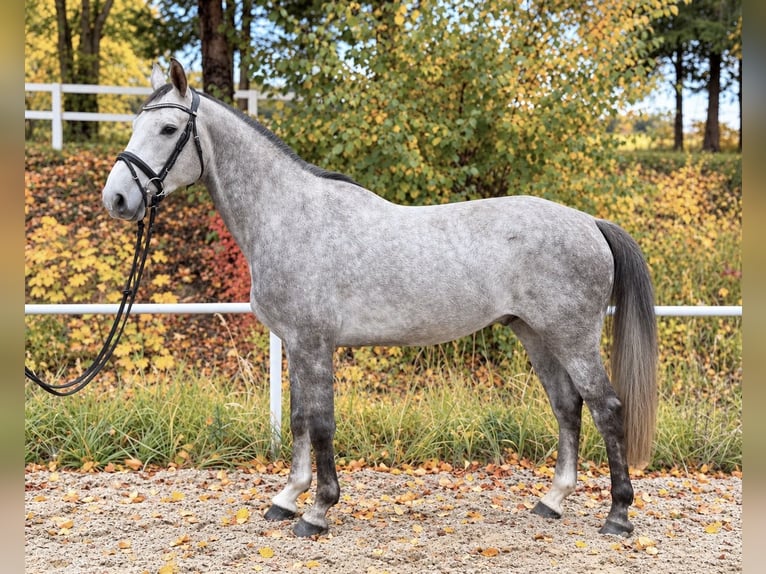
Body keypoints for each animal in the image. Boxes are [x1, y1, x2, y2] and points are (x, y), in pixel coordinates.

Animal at [102, 59, 657, 538]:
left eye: (168, 129)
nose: (118, 199)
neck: (290, 216)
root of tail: (589, 222)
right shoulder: (297, 345)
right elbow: (300, 419)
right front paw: (286, 500)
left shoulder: (313, 343)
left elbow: (321, 423)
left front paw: (318, 512)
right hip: (535, 334)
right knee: (567, 407)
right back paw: (552, 501)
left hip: (573, 337)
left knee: (606, 408)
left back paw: (617, 516)